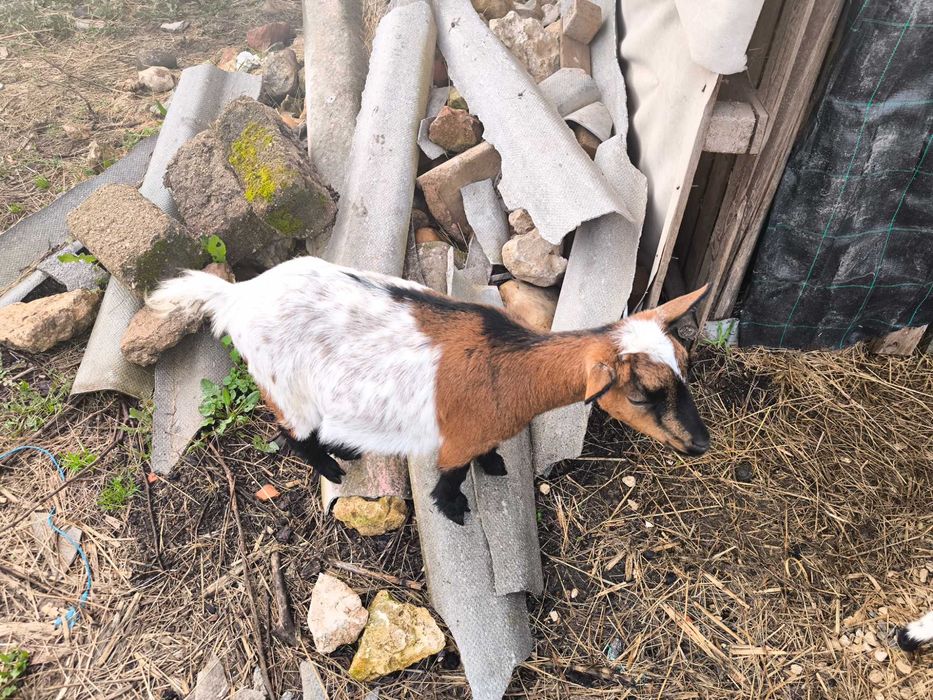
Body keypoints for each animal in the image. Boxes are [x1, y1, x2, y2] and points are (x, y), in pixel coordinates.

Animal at [148, 255, 710, 524]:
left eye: (686, 368)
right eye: (642, 395)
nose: (701, 444)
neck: (513, 369)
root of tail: (237, 296)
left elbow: (486, 456)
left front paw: (495, 464)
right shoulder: (458, 437)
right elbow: (451, 478)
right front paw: (454, 508)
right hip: (284, 388)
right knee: (293, 435)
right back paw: (332, 466)